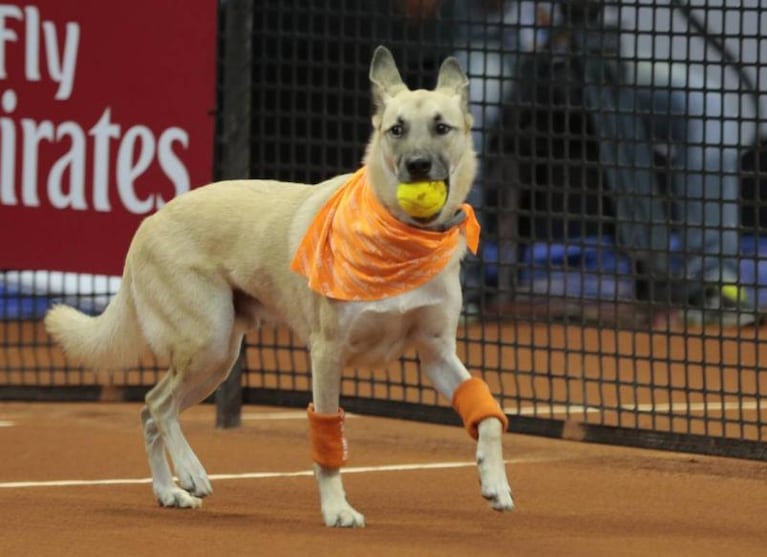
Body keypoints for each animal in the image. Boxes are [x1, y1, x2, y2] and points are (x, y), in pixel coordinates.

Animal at [46, 44, 516, 524]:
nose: (417, 166)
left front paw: (494, 482)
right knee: (159, 405)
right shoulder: (327, 353)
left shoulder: (437, 353)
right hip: (208, 342)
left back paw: (168, 491)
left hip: (217, 360)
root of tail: (147, 223)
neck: (404, 241)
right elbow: (327, 441)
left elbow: (488, 415)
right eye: (396, 130)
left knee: (148, 411)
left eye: (441, 127)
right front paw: (336, 509)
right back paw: (191, 473)